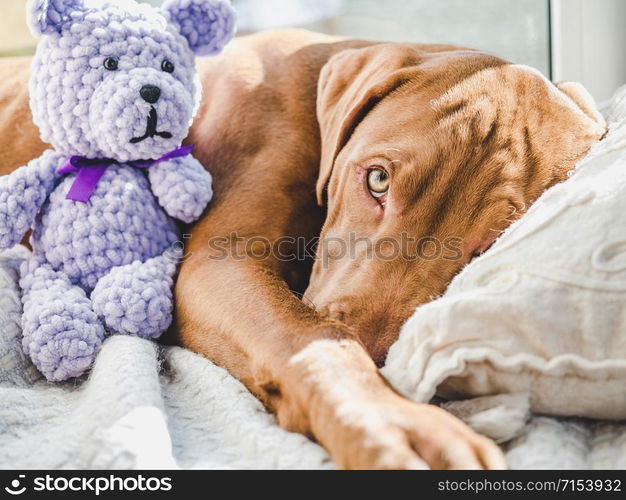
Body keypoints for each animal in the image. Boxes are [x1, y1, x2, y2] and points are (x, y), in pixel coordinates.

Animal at [0, 30, 604, 468]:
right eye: (378, 180)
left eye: (490, 246)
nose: (378, 357)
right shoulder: (222, 262)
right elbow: (311, 335)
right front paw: (397, 423)